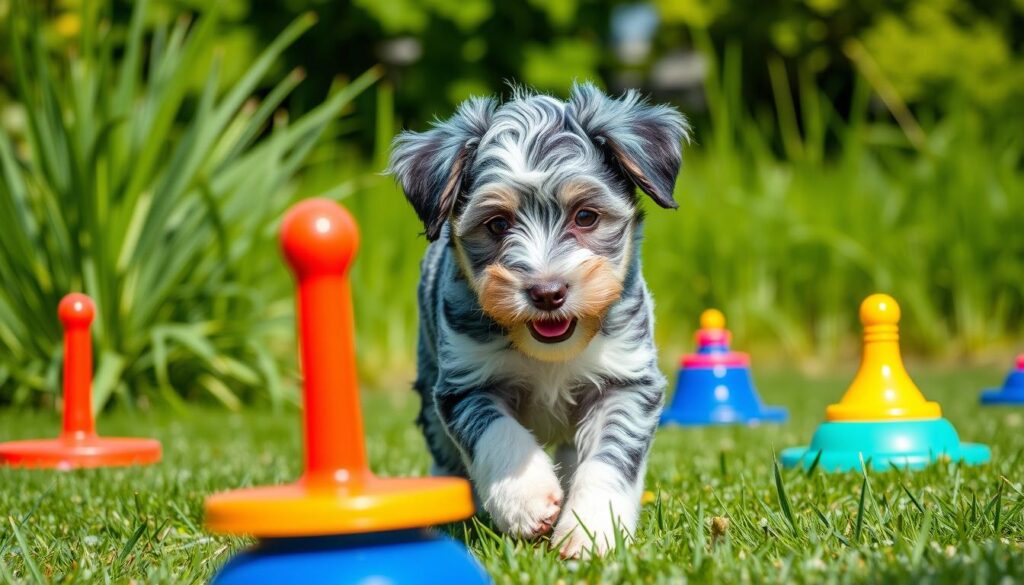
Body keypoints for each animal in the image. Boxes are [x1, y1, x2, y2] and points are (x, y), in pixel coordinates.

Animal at [387, 82, 692, 557]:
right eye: (497, 224)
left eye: (585, 216)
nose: (547, 292)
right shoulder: (464, 381)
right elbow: (493, 431)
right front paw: (524, 497)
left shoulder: (627, 378)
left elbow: (611, 454)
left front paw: (591, 528)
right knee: (445, 454)